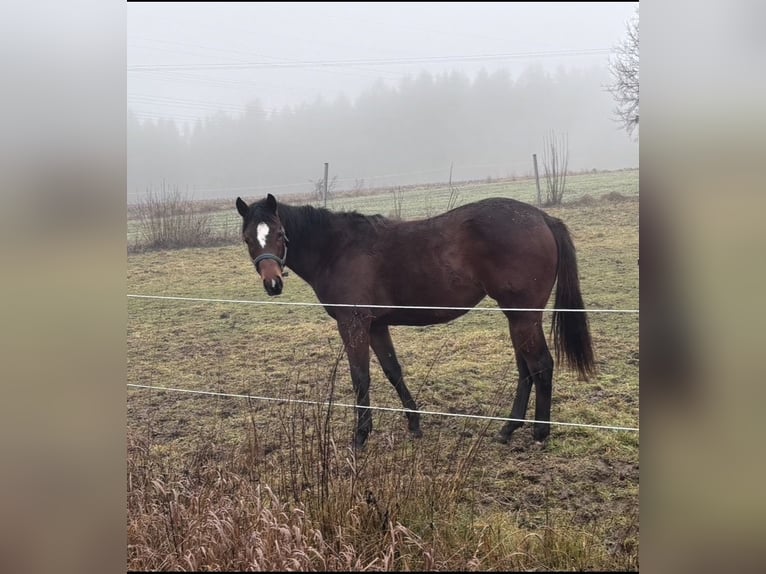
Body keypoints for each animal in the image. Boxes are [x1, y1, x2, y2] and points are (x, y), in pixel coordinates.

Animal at [236, 193, 594, 449]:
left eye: (280, 233)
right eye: (248, 238)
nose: (273, 283)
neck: (338, 248)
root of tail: (542, 218)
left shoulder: (353, 323)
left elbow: (360, 377)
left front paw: (360, 436)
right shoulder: (376, 325)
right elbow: (392, 371)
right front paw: (414, 423)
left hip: (522, 316)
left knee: (541, 365)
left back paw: (539, 433)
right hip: (517, 316)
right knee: (526, 370)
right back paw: (508, 429)